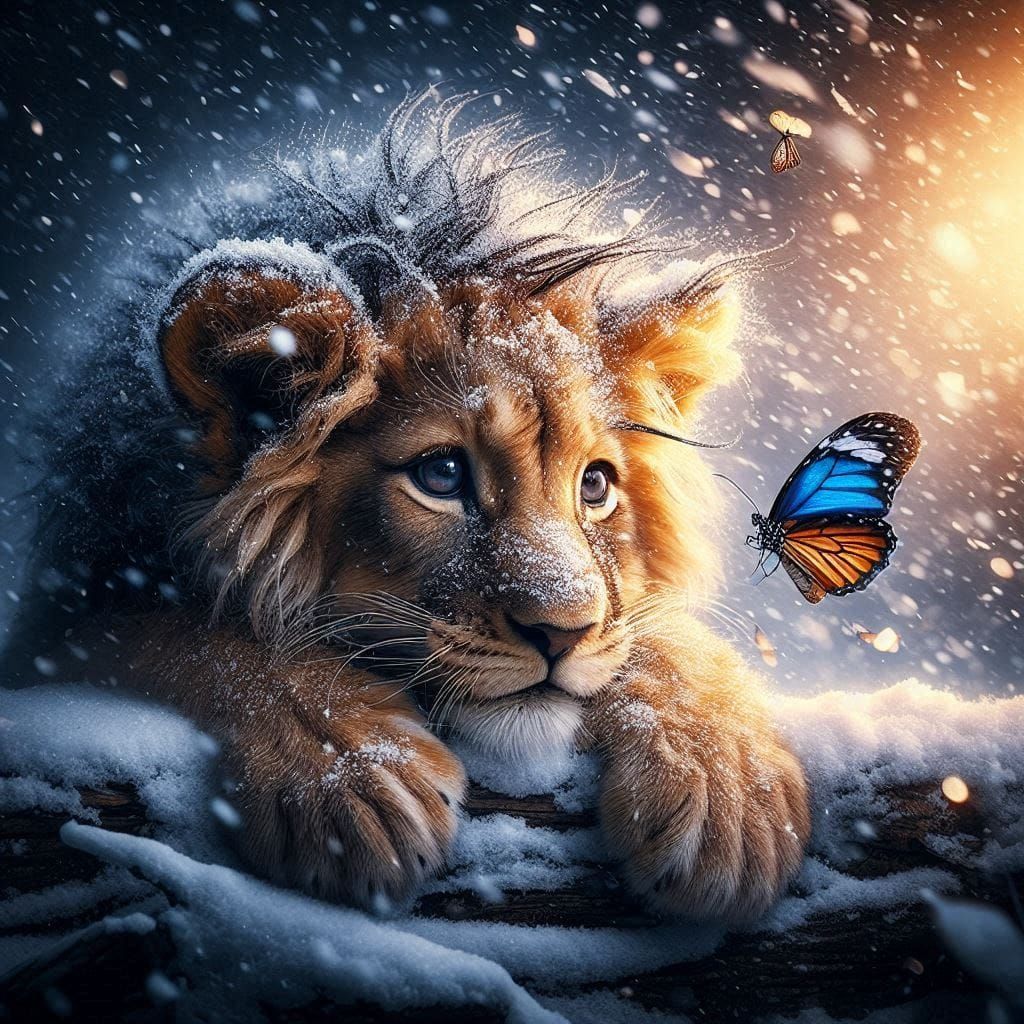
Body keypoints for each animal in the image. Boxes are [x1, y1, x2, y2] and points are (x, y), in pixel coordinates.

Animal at [5, 95, 810, 920]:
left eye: (595, 486)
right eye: (442, 474)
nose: (562, 634)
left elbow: (663, 635)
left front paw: (730, 792)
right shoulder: (59, 617)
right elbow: (199, 631)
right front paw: (357, 775)